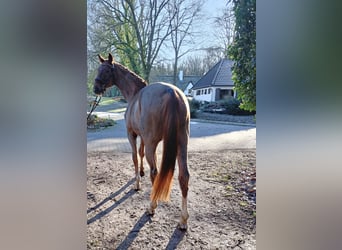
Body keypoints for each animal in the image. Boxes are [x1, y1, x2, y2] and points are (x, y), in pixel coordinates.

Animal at [93, 53, 190, 229]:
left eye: (106, 70)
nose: (95, 89)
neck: (134, 95)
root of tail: (172, 93)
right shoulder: (143, 137)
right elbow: (141, 152)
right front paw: (142, 173)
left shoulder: (132, 134)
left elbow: (135, 157)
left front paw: (137, 183)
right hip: (182, 143)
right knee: (184, 176)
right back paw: (183, 219)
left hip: (154, 144)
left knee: (155, 172)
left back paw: (151, 206)